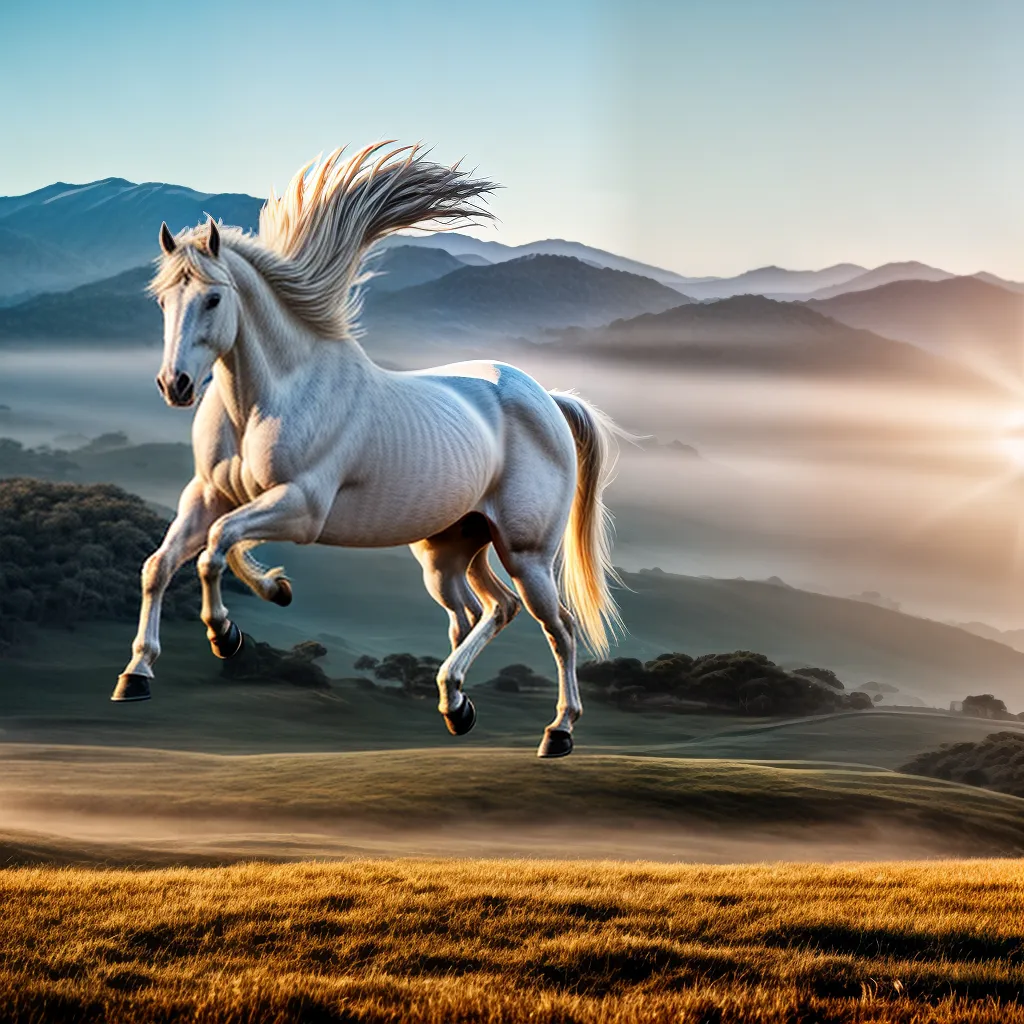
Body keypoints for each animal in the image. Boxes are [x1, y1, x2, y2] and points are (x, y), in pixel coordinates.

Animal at [111, 141, 624, 758]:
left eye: (212, 298)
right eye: (162, 300)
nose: (176, 385)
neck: (265, 399)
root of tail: (547, 397)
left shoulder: (301, 507)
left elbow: (216, 548)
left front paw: (225, 633)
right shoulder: (208, 495)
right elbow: (163, 564)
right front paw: (138, 673)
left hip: (526, 552)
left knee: (557, 628)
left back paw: (557, 732)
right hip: (450, 551)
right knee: (490, 608)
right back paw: (457, 707)